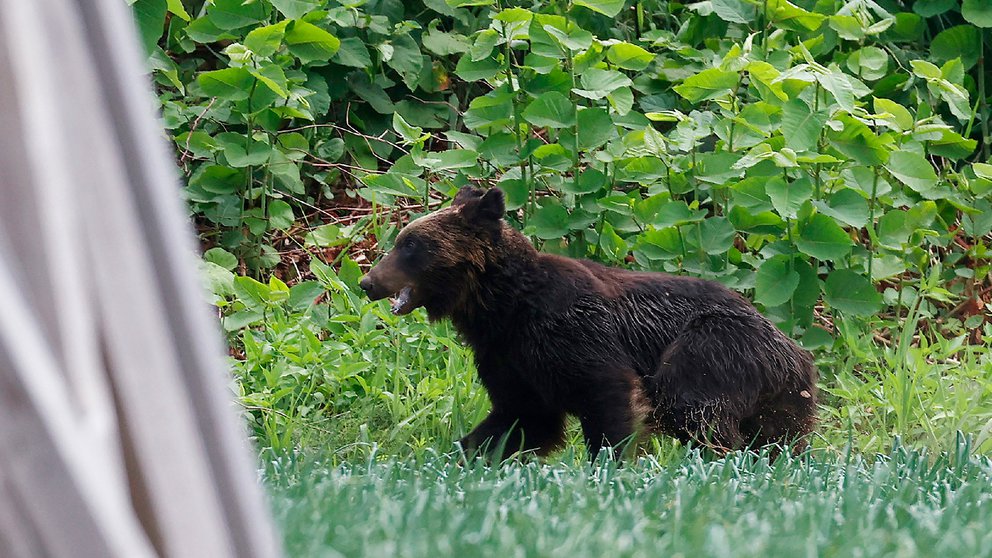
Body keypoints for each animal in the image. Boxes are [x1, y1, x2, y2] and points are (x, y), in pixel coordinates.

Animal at [360, 186, 816, 462]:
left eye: (410, 245)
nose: (367, 282)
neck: (502, 306)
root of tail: (795, 349)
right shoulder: (508, 357)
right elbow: (520, 418)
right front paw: (465, 453)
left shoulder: (573, 332)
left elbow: (608, 395)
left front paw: (609, 464)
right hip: (782, 397)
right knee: (780, 437)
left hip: (714, 346)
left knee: (691, 405)